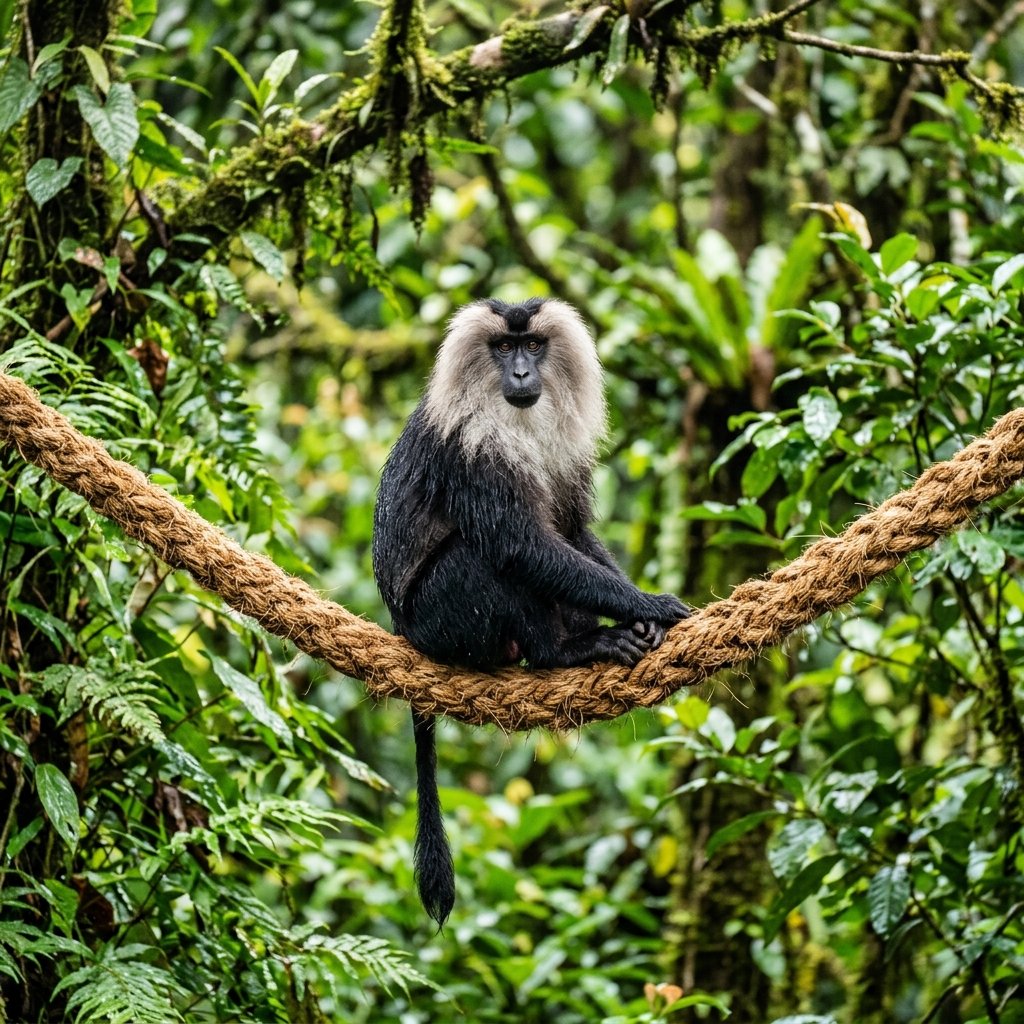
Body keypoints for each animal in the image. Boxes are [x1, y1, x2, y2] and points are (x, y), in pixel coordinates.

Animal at [372, 297, 690, 926]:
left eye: (534, 347)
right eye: (502, 349)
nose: (520, 373)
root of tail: (403, 632)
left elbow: (571, 530)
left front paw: (639, 612)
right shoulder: (470, 445)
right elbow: (522, 545)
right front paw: (652, 606)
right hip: (441, 620)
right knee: (485, 558)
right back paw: (564, 653)